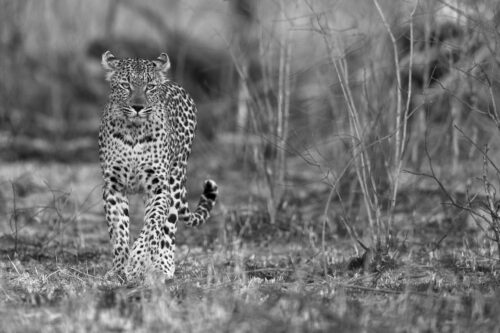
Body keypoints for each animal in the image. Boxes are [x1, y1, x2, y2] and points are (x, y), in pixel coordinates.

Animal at [99, 50, 219, 282]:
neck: (133, 132)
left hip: (175, 180)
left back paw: (163, 267)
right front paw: (118, 269)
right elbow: (118, 232)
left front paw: (136, 262)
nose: (138, 107)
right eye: (125, 85)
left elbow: (152, 227)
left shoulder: (159, 189)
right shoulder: (113, 187)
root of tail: (173, 83)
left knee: (168, 229)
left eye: (150, 86)